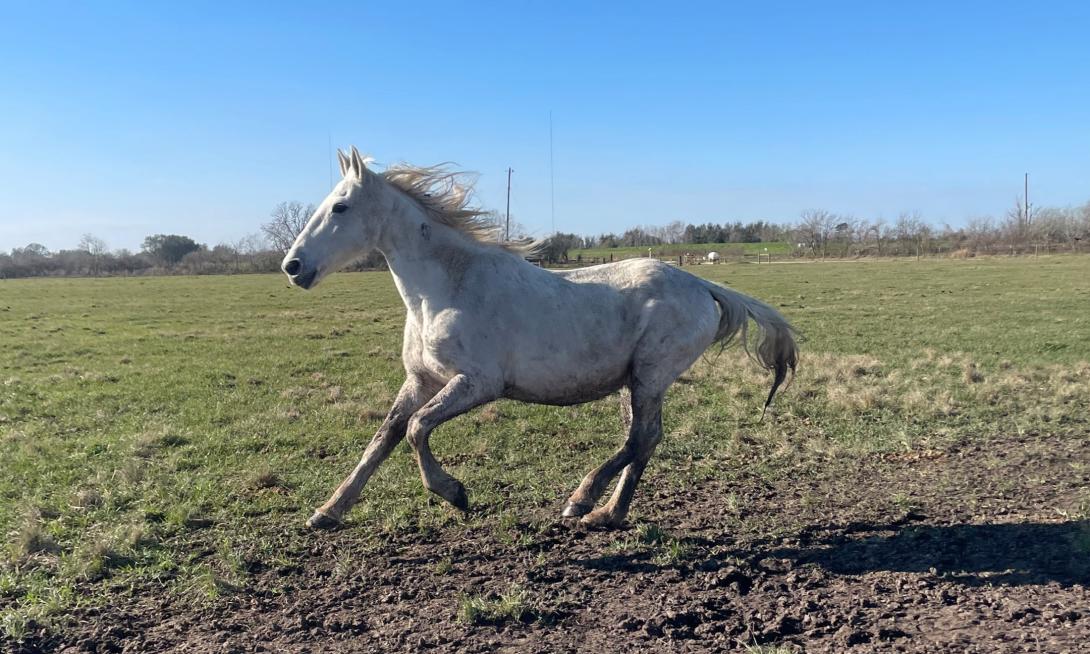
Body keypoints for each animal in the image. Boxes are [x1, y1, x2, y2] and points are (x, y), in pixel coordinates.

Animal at [279, 146, 793, 529]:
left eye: (340, 206)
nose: (293, 266)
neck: (445, 289)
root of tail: (702, 285)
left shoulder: (478, 383)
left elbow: (416, 428)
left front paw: (455, 494)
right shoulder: (421, 380)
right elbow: (384, 436)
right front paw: (327, 511)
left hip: (650, 376)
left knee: (642, 438)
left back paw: (581, 500)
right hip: (633, 382)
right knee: (645, 440)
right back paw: (607, 514)